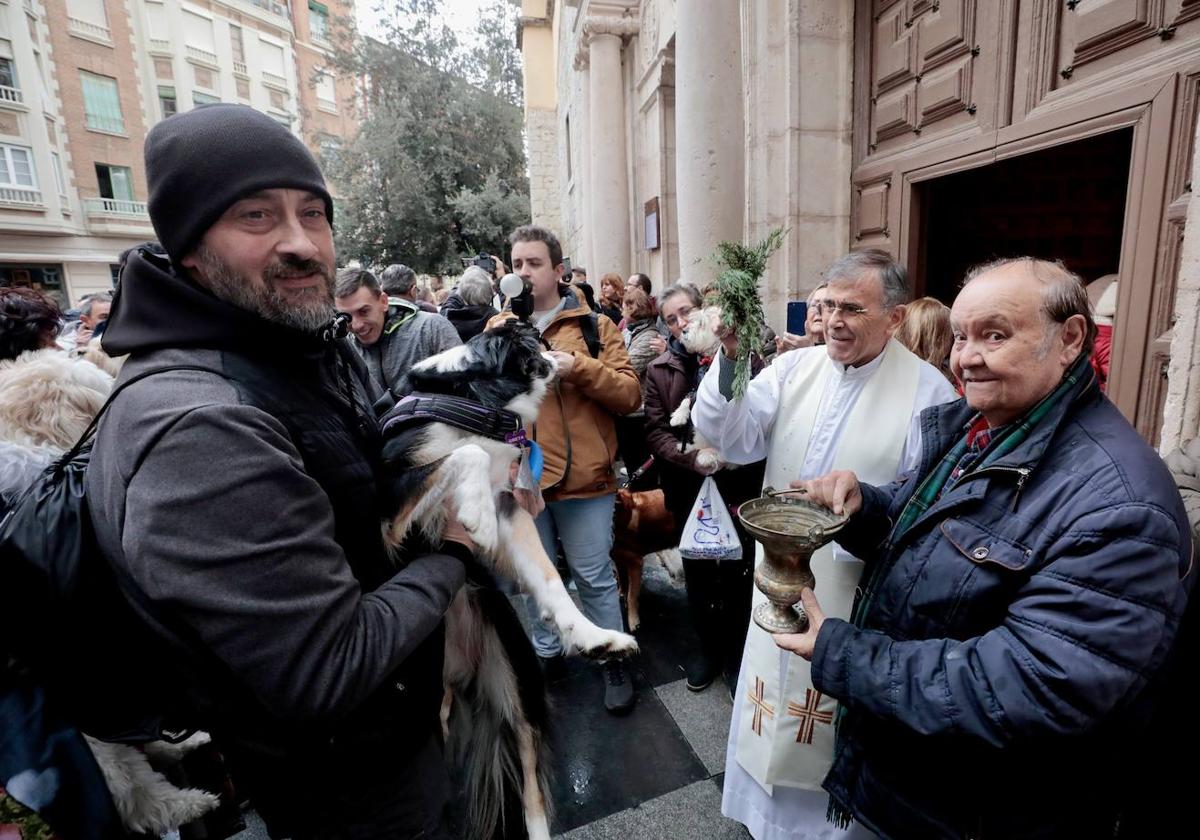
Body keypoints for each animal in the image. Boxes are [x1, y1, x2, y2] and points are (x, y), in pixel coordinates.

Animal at [379, 324, 638, 840]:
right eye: (537, 343)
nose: (564, 354)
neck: (481, 399)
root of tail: (459, 671)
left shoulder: (512, 507)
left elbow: (551, 579)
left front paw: (593, 637)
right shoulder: (393, 503)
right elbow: (468, 452)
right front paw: (474, 516)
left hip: (513, 674)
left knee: (529, 774)